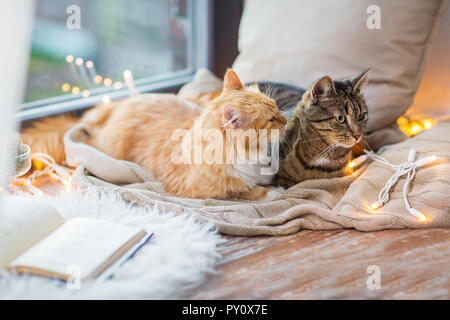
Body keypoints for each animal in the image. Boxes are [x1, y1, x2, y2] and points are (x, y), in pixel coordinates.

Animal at [22, 70, 284, 200]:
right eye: (271, 120)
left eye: (277, 108)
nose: (284, 120)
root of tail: (114, 106)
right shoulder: (199, 190)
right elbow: (244, 191)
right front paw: (271, 193)